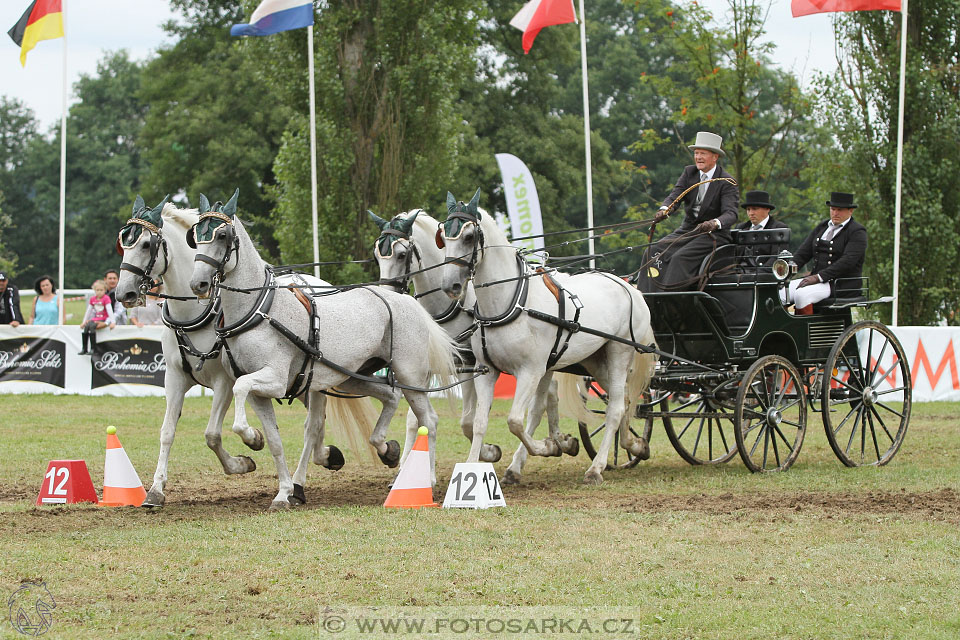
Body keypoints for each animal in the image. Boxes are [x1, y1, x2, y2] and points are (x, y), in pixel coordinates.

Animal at [115, 198, 378, 508]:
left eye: (146, 244)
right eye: (123, 243)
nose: (123, 293)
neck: (194, 313)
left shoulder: (224, 381)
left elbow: (212, 434)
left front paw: (245, 457)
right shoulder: (175, 378)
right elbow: (167, 432)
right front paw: (156, 490)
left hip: (313, 379)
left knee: (313, 423)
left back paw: (306, 475)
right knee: (316, 423)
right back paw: (324, 457)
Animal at [188, 190, 458, 500]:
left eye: (222, 236)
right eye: (194, 236)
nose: (198, 284)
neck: (259, 310)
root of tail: (408, 301)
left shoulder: (275, 379)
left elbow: (240, 388)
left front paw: (251, 437)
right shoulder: (260, 393)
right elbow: (274, 440)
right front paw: (283, 491)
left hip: (409, 375)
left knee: (429, 420)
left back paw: (427, 479)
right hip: (352, 376)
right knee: (390, 397)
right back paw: (386, 449)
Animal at [368, 208, 584, 482]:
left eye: (401, 254)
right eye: (377, 255)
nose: (388, 296)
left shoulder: (470, 364)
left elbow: (468, 422)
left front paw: (487, 452)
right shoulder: (425, 367)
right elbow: (414, 419)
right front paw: (406, 468)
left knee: (543, 401)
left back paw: (541, 451)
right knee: (550, 395)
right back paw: (558, 441)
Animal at [438, 190, 656, 484]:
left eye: (469, 236)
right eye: (442, 238)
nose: (450, 285)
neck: (511, 302)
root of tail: (629, 286)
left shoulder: (531, 370)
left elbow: (515, 420)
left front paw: (550, 446)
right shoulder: (487, 371)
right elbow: (479, 423)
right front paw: (472, 467)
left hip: (619, 353)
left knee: (615, 409)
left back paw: (596, 468)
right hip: (596, 361)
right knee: (623, 401)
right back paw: (635, 445)